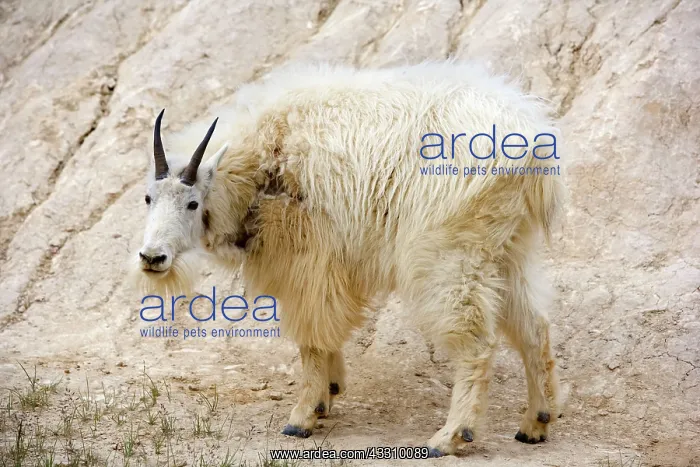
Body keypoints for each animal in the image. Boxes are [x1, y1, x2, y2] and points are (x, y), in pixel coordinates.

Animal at [132, 61, 565, 456]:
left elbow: (311, 338)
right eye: (148, 197)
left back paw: (451, 436)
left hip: (450, 253)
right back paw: (535, 423)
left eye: (192, 203)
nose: (152, 257)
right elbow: (324, 336)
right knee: (534, 329)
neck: (264, 158)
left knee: (476, 341)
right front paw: (330, 392)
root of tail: (533, 146)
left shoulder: (308, 259)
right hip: (508, 251)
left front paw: (303, 415)